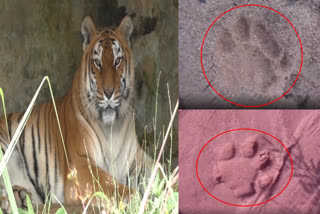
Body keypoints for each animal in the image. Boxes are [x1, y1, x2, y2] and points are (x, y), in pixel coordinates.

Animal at [0, 15, 154, 209]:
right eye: (97, 62)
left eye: (117, 61)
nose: (109, 92)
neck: (112, 128)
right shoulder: (81, 166)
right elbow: (113, 186)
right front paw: (137, 198)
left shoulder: (137, 159)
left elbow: (161, 171)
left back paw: (20, 197)